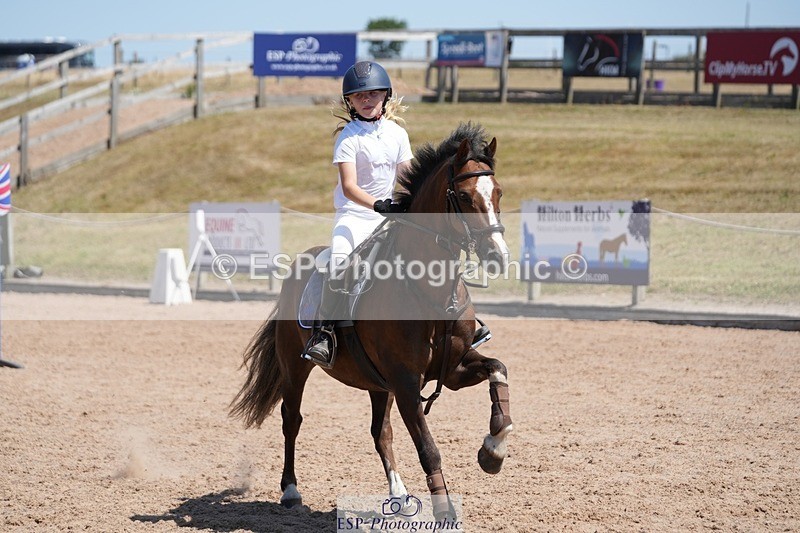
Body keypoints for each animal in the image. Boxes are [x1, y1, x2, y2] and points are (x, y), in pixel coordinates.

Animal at [229, 123, 514, 518]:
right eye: (464, 195)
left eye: (498, 192)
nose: (497, 256)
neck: (430, 292)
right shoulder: (407, 383)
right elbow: (429, 449)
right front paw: (445, 512)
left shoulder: (452, 370)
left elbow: (498, 369)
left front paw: (493, 451)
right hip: (295, 367)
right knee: (292, 420)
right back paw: (291, 491)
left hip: (379, 384)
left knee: (381, 432)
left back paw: (399, 495)